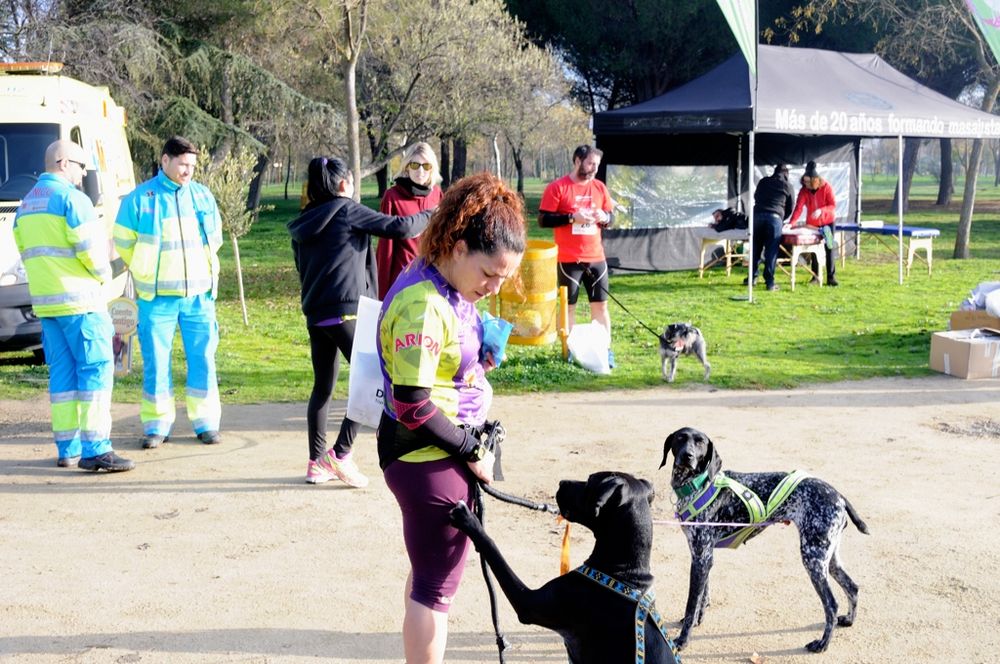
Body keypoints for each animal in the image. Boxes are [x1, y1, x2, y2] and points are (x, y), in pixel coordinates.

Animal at [452, 472, 680, 664]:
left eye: (589, 481)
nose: (561, 482)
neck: (625, 573)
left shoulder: (530, 603)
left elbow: (494, 550)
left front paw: (469, 520)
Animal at [664, 426, 868, 652]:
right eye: (681, 438)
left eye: (700, 442)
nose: (687, 456)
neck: (697, 485)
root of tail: (838, 496)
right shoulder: (702, 556)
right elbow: (703, 596)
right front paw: (698, 620)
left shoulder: (701, 558)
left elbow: (691, 604)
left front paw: (682, 640)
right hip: (828, 559)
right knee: (853, 587)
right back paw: (849, 620)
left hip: (812, 559)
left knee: (831, 604)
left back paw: (822, 644)